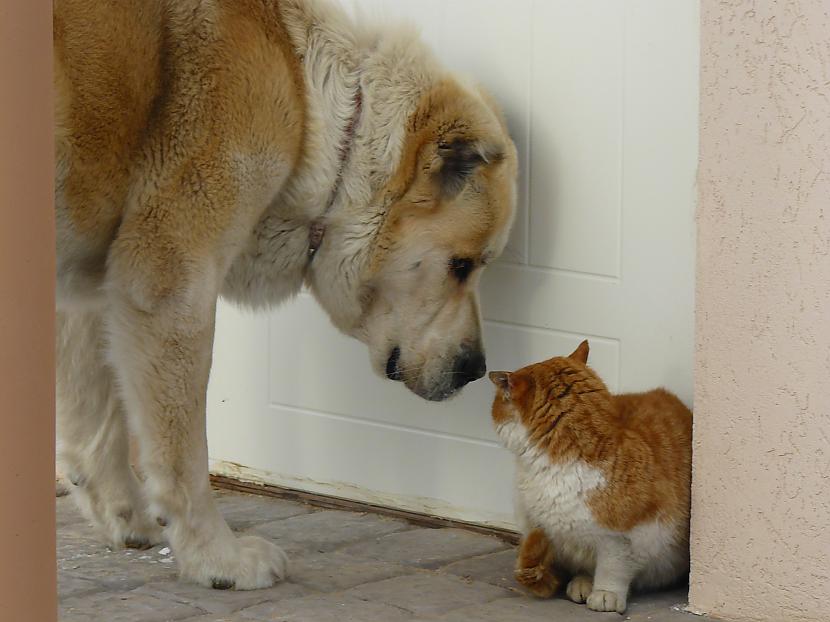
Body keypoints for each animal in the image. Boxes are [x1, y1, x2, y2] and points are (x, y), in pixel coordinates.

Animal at [53, 0, 512, 592]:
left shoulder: (88, 287)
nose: (477, 369)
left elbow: (95, 421)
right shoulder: (170, 283)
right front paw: (215, 558)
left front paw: (126, 517)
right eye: (462, 267)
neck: (310, 102)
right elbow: (183, 453)